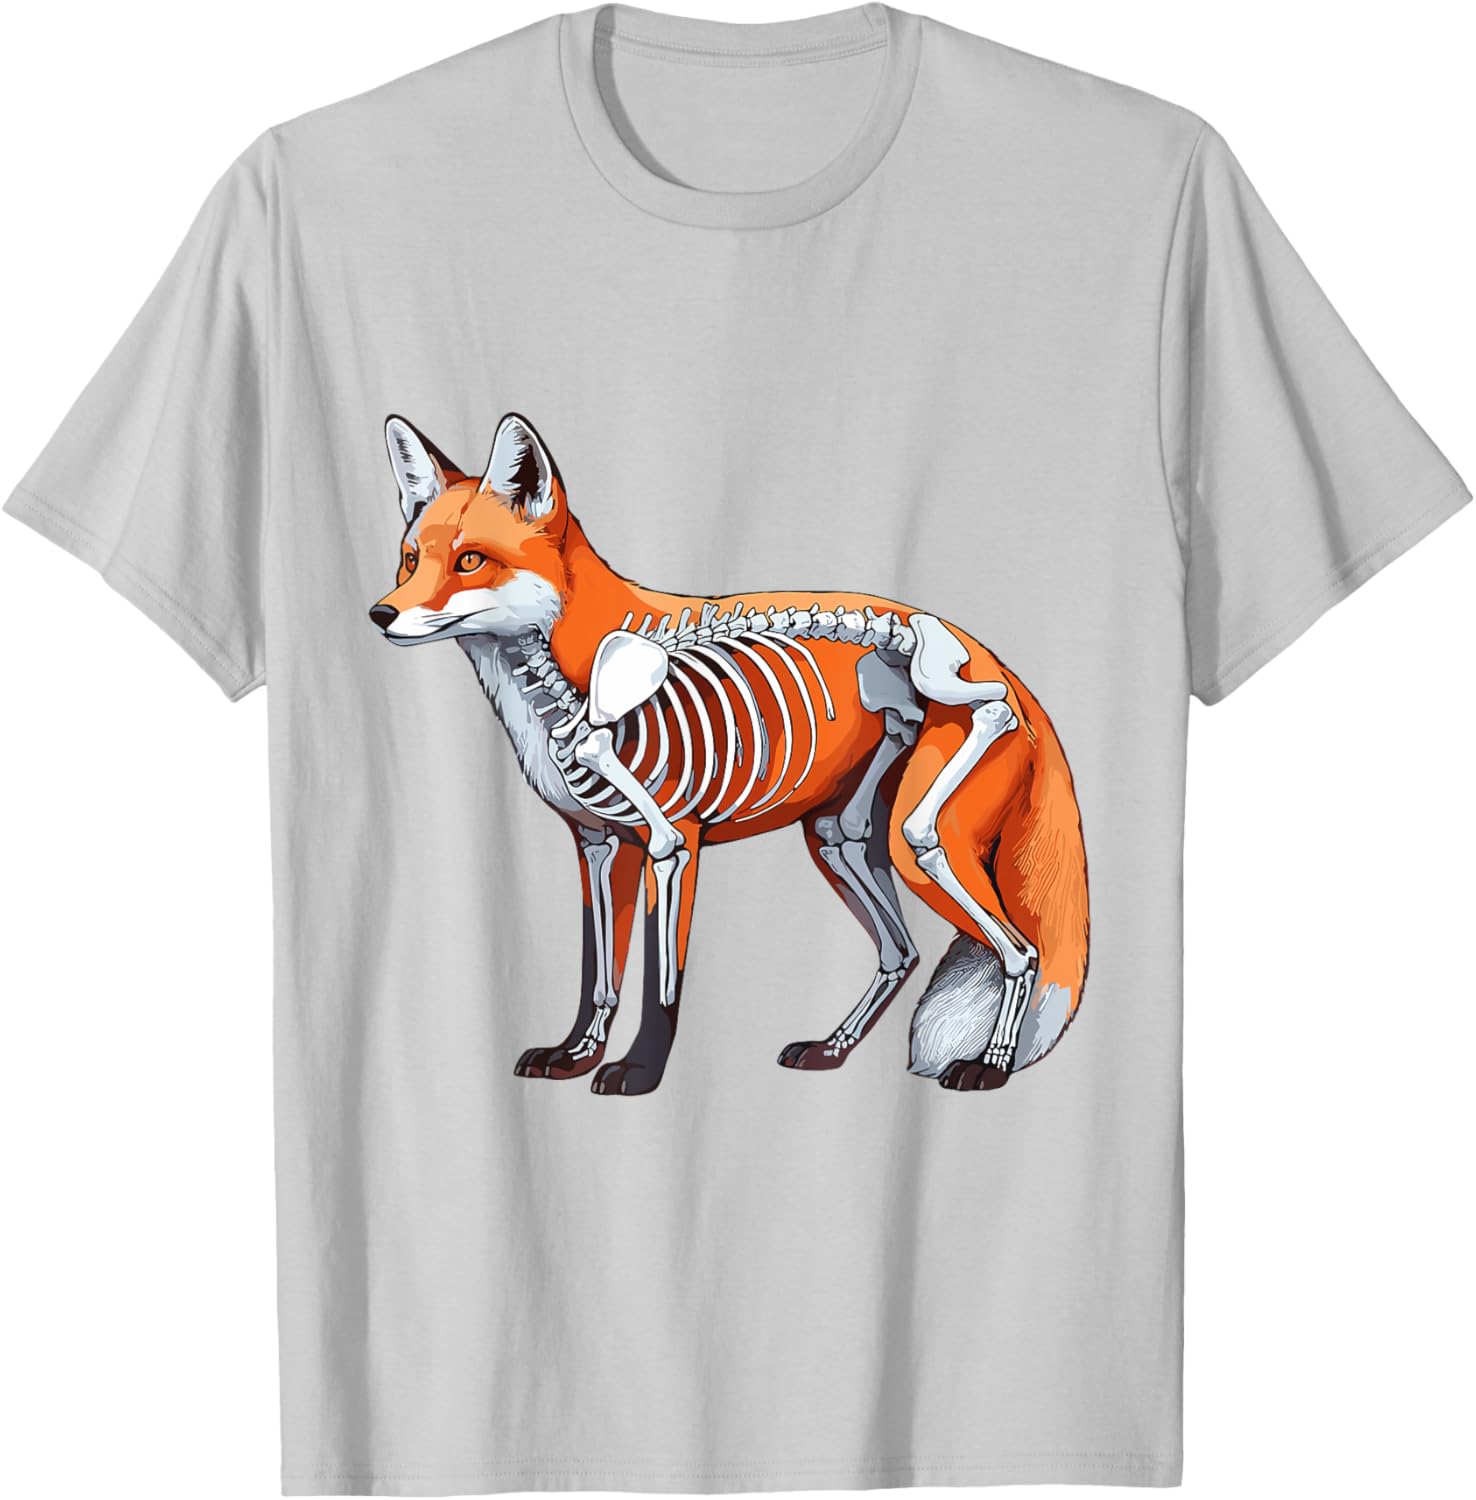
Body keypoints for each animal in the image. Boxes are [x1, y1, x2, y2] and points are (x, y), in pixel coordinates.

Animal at [370, 412, 1089, 1096]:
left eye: (469, 561)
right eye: (408, 561)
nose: (381, 614)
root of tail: (977, 647)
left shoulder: (672, 842)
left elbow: (662, 982)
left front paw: (637, 1072)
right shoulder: (596, 844)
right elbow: (597, 973)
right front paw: (575, 1056)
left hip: (922, 833)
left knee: (1014, 942)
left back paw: (989, 1066)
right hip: (835, 837)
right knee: (900, 950)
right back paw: (832, 1049)